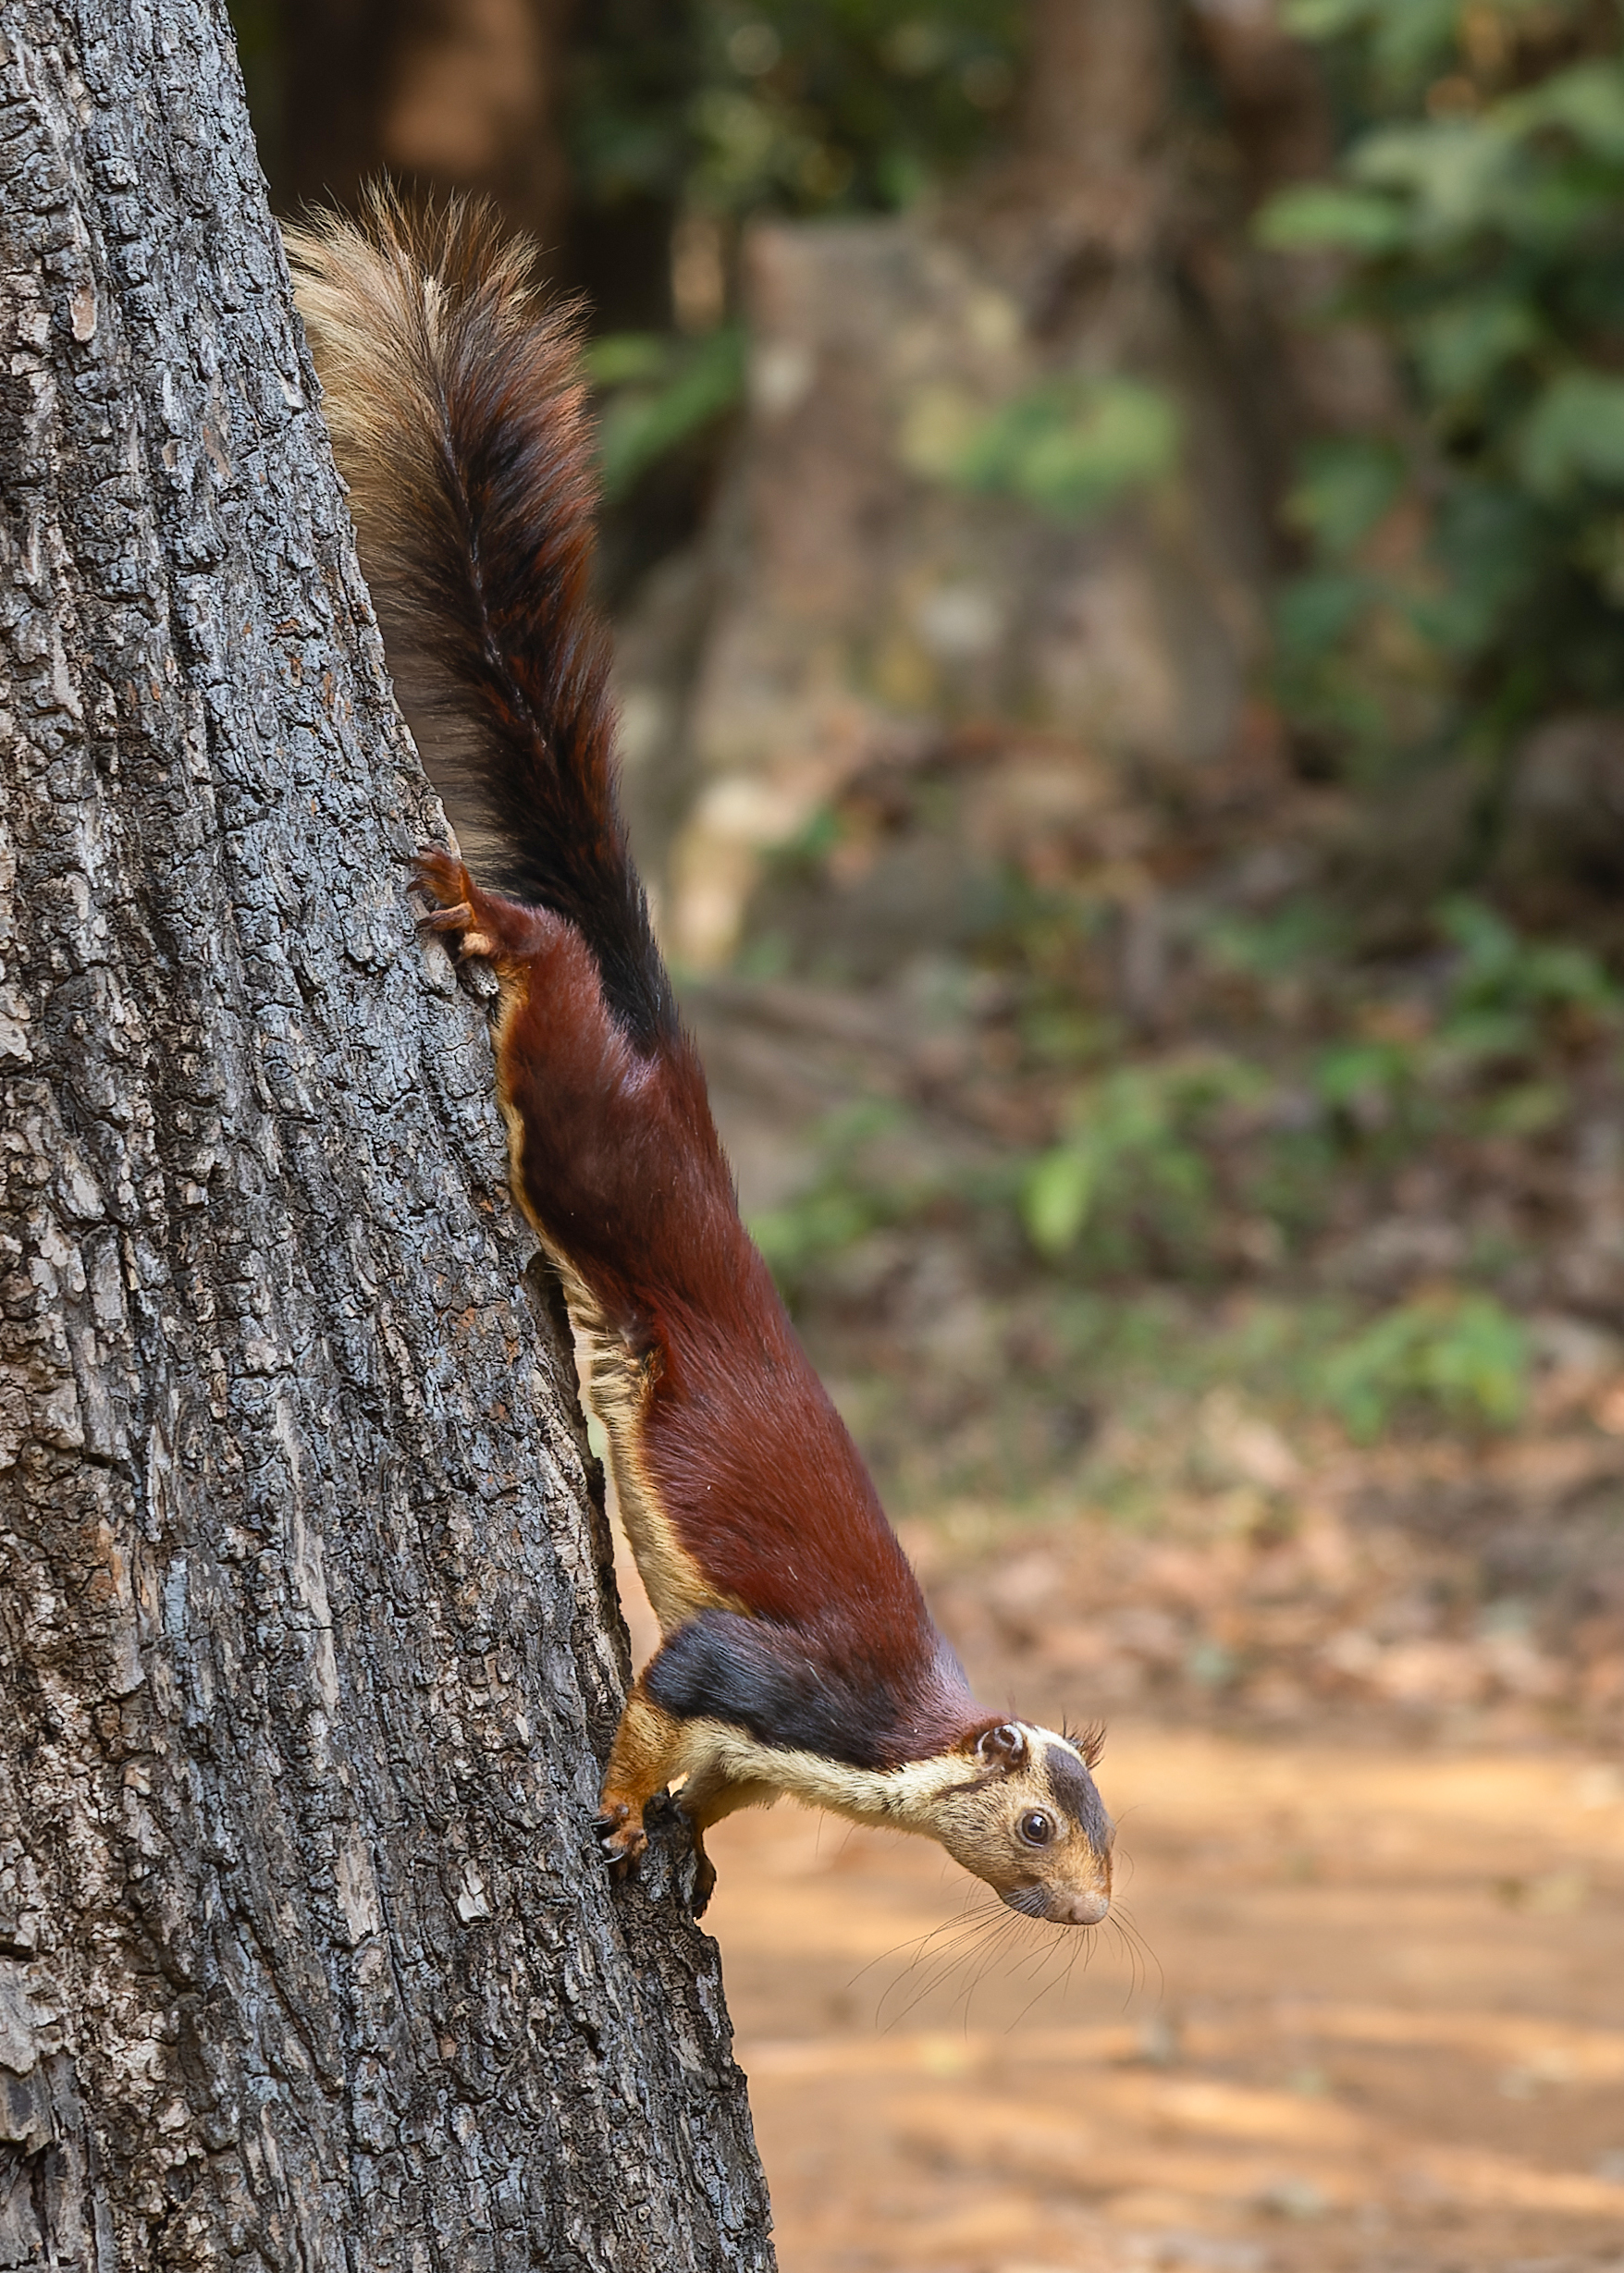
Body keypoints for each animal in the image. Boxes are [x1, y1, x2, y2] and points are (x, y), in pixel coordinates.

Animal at [286, 192, 1113, 1928]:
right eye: (1033, 1825)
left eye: (1109, 1838)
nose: (1089, 1912)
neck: (893, 1746)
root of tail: (675, 1073)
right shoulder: (769, 1675)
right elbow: (669, 1691)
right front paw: (616, 1806)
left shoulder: (769, 1747)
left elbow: (717, 1788)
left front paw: (689, 1847)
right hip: (589, 1134)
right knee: (552, 1005)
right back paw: (500, 920)